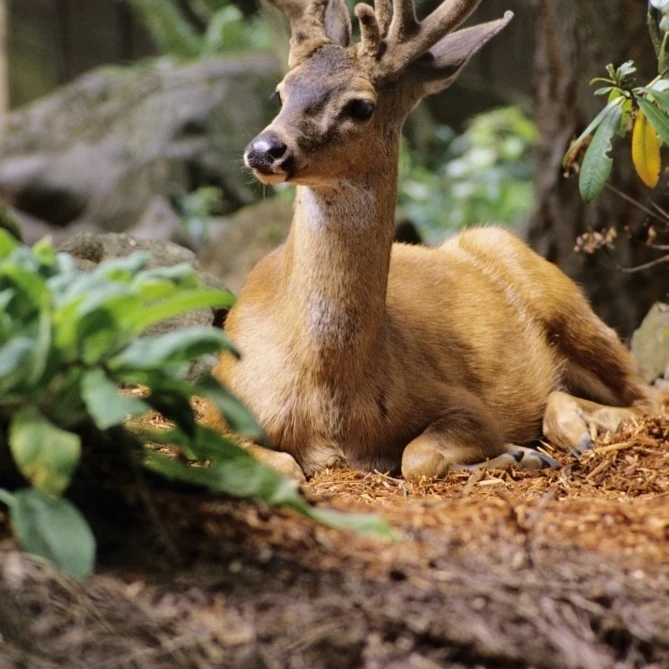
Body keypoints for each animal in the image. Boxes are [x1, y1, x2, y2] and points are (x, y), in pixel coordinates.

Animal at [203, 0, 662, 482]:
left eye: (362, 106)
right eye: (280, 92)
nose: (264, 149)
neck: (329, 398)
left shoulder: (465, 403)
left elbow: (415, 458)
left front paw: (515, 453)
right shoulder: (218, 401)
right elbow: (282, 466)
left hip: (563, 301)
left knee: (645, 399)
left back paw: (567, 438)